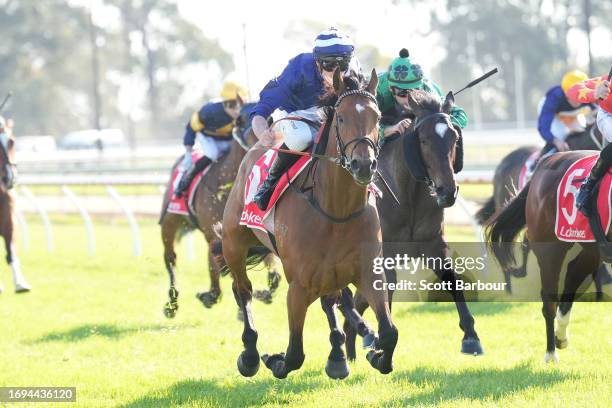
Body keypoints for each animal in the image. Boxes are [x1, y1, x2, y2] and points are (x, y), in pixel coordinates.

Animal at [159, 103, 280, 318]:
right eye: (241, 120)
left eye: (271, 119)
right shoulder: (217, 234)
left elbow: (273, 274)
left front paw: (260, 297)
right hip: (170, 222)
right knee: (171, 258)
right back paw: (172, 303)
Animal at [218, 69, 400, 380]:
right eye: (341, 118)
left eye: (377, 118)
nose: (364, 165)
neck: (337, 210)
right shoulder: (299, 286)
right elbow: (294, 354)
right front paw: (273, 359)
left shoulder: (368, 271)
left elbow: (389, 333)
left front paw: (375, 354)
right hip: (234, 243)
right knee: (242, 290)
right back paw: (250, 355)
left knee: (331, 300)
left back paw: (339, 355)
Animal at [342, 90, 480, 360]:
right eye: (423, 141)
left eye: (454, 138)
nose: (447, 191)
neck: (408, 194)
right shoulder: (384, 256)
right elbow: (383, 294)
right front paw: (381, 346)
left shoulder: (434, 244)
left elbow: (453, 280)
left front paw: (471, 336)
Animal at [488, 151, 608, 362]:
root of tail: (545, 162)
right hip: (550, 250)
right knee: (550, 299)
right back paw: (551, 352)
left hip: (592, 249)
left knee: (572, 276)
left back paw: (561, 336)